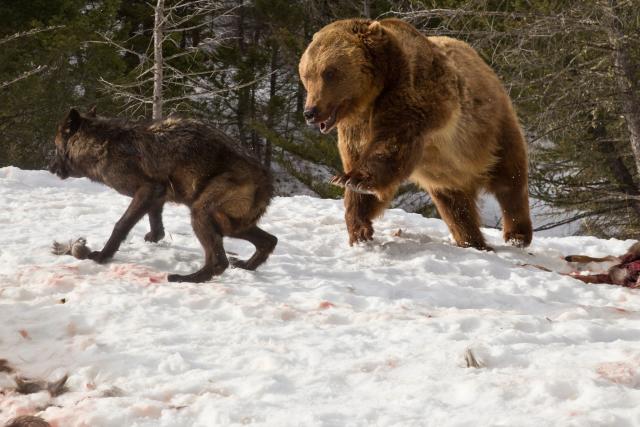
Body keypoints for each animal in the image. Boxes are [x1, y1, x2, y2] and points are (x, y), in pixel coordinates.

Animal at [300, 17, 536, 251]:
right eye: (306, 74)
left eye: (329, 72)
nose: (310, 112)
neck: (371, 98)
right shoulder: (355, 128)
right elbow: (361, 168)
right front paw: (360, 229)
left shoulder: (415, 95)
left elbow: (391, 144)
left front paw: (353, 179)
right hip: (447, 173)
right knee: (455, 205)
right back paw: (472, 241)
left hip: (490, 131)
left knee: (509, 179)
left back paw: (517, 235)